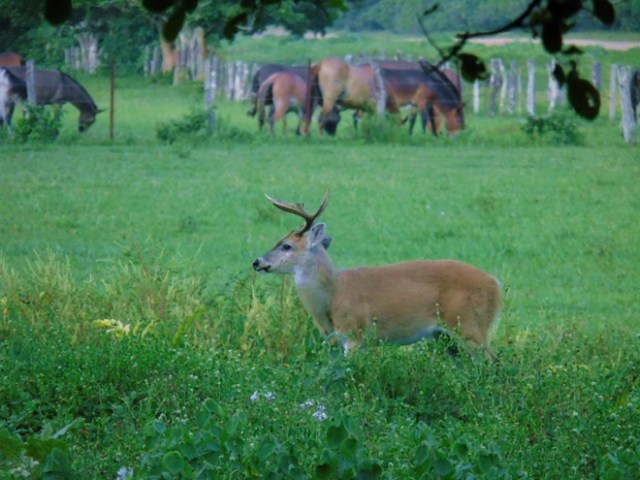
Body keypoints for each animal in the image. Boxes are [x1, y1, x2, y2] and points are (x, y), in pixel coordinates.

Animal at [250, 191, 500, 360]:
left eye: (286, 245)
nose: (257, 262)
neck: (332, 295)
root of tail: (496, 285)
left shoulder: (354, 334)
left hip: (471, 325)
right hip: (447, 338)